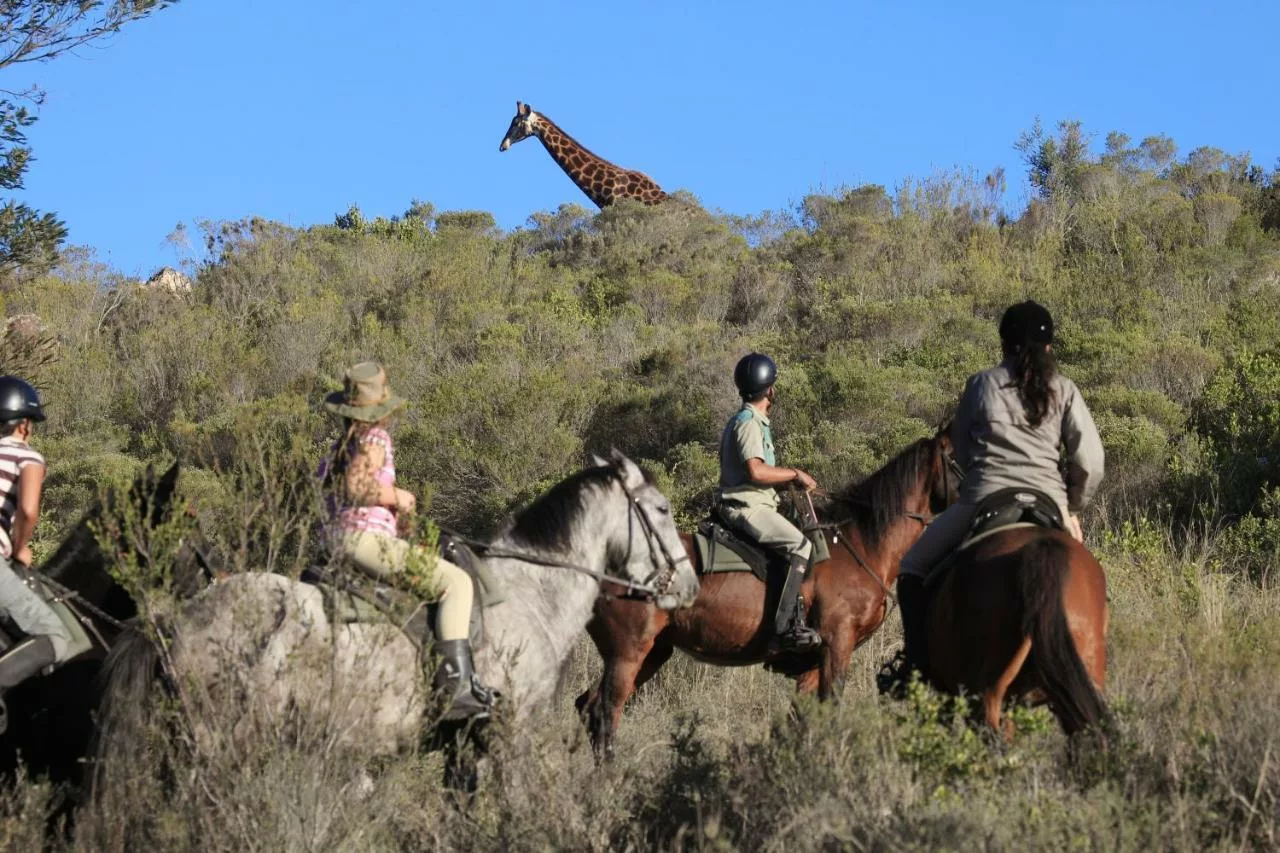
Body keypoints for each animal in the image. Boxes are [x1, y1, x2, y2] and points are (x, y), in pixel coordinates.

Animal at [97, 450, 701, 758]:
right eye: (662, 510)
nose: (691, 585)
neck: (529, 593)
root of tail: (174, 617)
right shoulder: (509, 732)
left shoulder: (461, 745)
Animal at [576, 432, 957, 758]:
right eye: (958, 454)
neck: (861, 543)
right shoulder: (838, 643)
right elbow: (831, 709)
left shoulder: (812, 661)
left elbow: (800, 720)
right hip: (628, 653)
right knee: (605, 712)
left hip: (652, 652)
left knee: (588, 705)